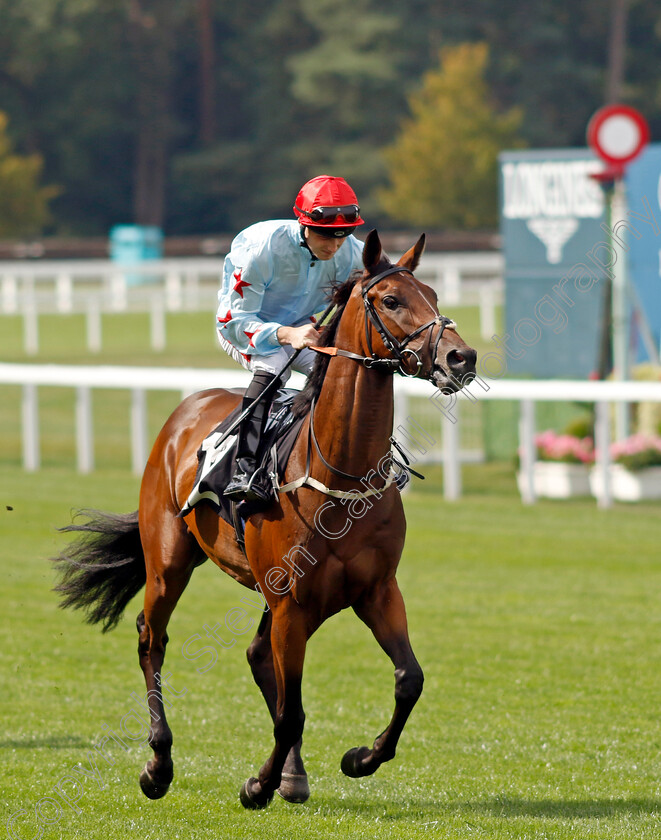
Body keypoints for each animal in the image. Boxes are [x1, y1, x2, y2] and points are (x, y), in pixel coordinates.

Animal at [51, 230, 474, 808]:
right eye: (391, 300)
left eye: (431, 292)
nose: (461, 356)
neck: (340, 475)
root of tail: (186, 410)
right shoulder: (293, 603)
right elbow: (290, 712)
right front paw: (258, 785)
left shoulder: (376, 590)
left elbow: (409, 679)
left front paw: (359, 758)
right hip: (170, 562)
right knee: (151, 639)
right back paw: (159, 764)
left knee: (255, 655)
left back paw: (292, 774)